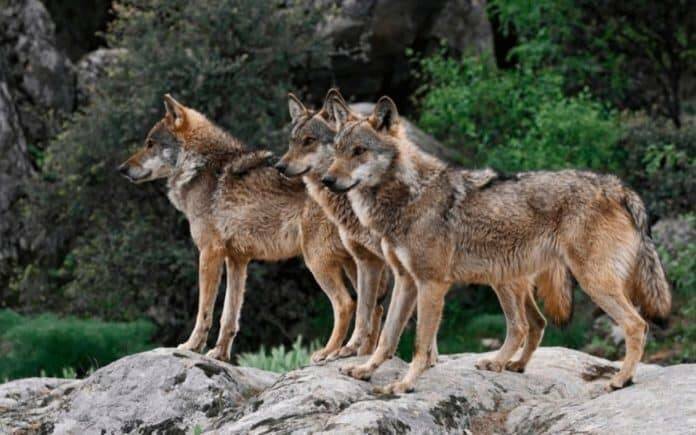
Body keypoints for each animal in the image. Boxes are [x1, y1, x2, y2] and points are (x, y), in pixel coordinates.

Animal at [118, 94, 359, 363]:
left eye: (150, 144)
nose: (122, 169)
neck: (199, 166)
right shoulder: (237, 260)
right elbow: (229, 315)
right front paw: (220, 354)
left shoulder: (209, 253)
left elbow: (205, 310)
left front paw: (191, 346)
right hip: (353, 264)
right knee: (372, 306)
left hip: (317, 262)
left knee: (346, 304)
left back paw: (329, 352)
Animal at [278, 89, 575, 364]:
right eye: (292, 142)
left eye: (309, 141)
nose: (279, 166)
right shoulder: (366, 261)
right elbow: (366, 311)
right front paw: (354, 352)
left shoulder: (407, 268)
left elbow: (398, 317)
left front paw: (424, 359)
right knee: (538, 321)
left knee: (525, 322)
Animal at [323, 95, 671, 394]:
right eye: (337, 151)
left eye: (359, 151)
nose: (326, 180)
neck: (408, 195)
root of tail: (616, 186)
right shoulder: (406, 281)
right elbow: (387, 336)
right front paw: (365, 370)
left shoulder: (431, 284)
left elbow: (421, 344)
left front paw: (405, 384)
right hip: (506, 278)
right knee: (525, 326)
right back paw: (506, 364)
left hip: (590, 282)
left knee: (636, 325)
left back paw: (621, 380)